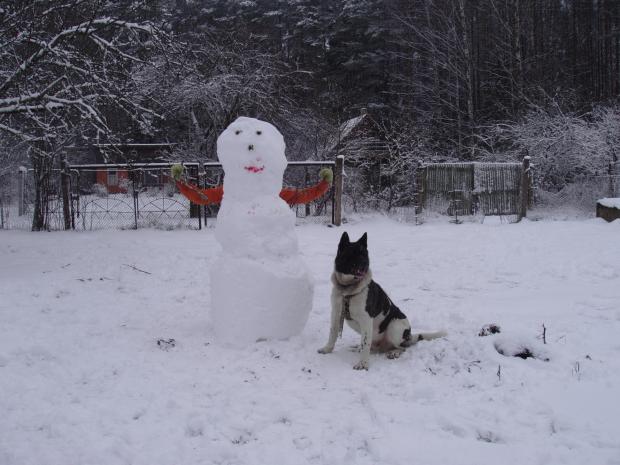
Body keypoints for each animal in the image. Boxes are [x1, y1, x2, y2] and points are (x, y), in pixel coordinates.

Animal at [320, 232, 446, 370]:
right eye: (352, 253)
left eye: (364, 254)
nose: (364, 264)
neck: (347, 291)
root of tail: (409, 336)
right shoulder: (336, 314)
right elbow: (332, 334)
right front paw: (327, 349)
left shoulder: (366, 320)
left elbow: (365, 344)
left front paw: (363, 364)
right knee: (371, 346)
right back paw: (358, 347)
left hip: (394, 326)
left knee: (403, 347)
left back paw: (394, 352)